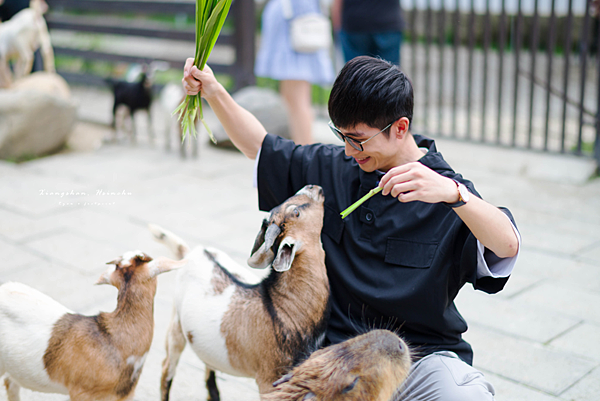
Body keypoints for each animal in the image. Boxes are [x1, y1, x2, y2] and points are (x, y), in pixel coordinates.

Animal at [149, 185, 328, 400]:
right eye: (296, 212)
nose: (314, 187)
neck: (283, 305)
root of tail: (192, 253)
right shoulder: (268, 380)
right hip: (176, 324)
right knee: (167, 368)